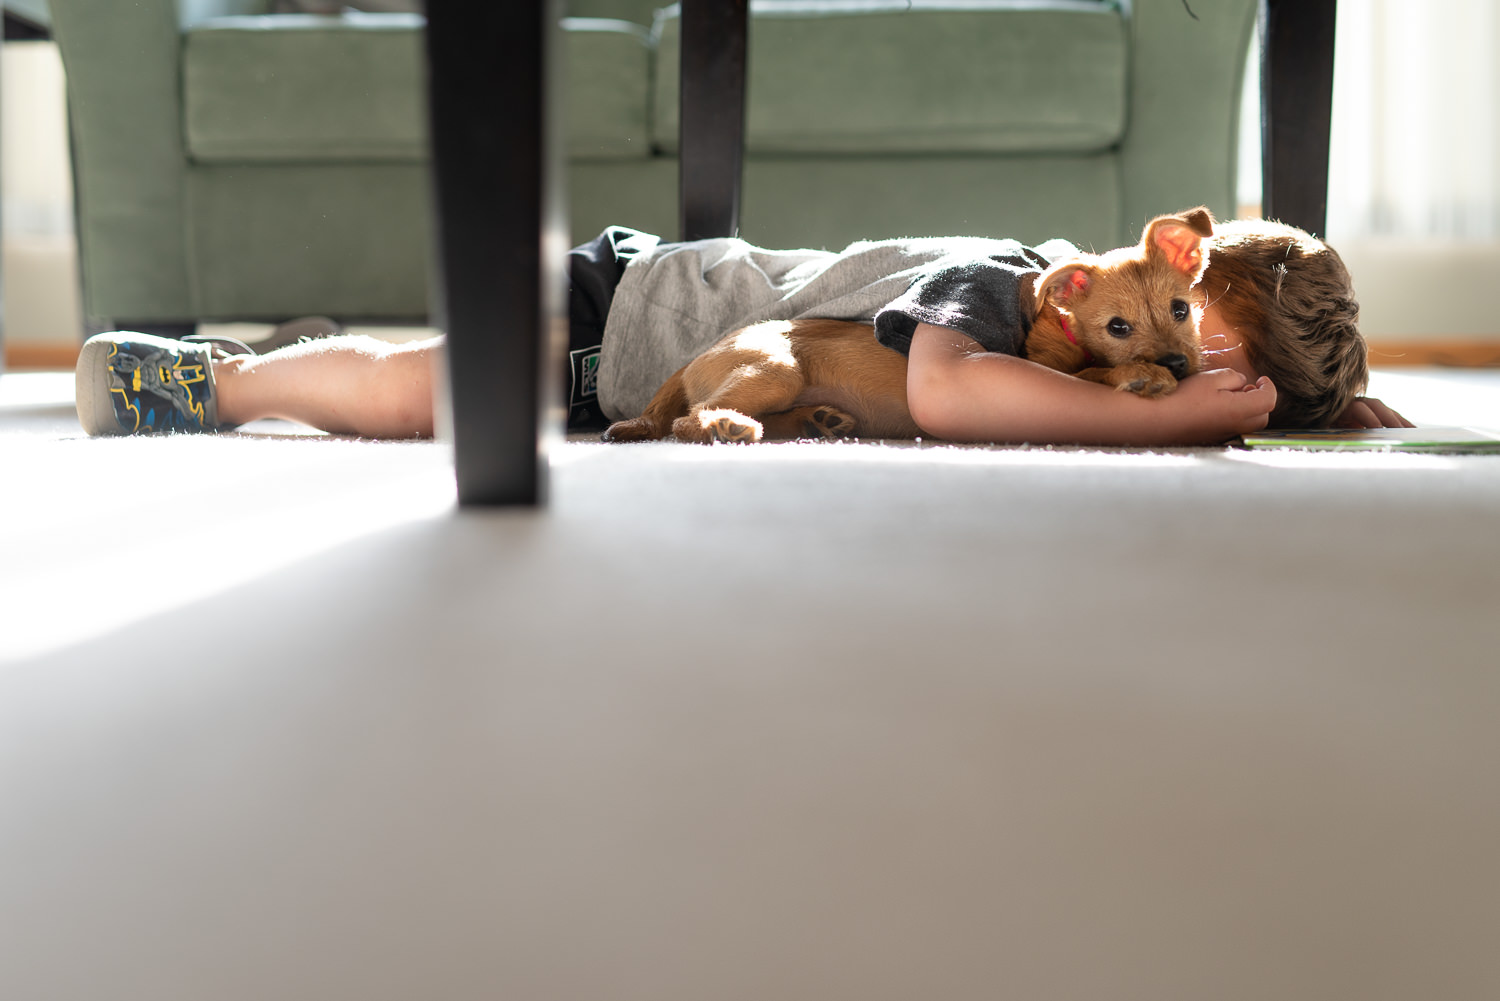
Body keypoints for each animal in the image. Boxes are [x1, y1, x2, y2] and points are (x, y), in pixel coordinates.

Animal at [603, 207, 1212, 441]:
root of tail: (692, 359)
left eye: (1181, 310)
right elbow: (1086, 375)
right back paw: (728, 427)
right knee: (686, 422)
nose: (1178, 362)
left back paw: (817, 421)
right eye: (1117, 327)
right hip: (773, 369)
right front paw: (1138, 375)